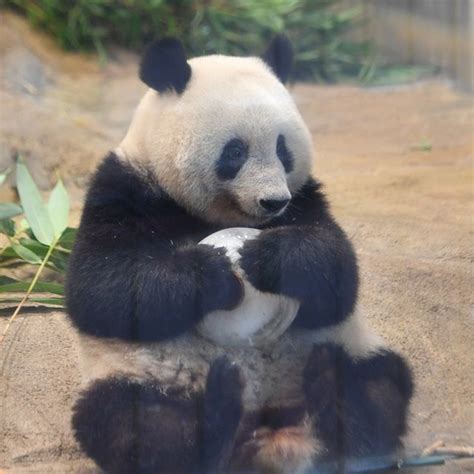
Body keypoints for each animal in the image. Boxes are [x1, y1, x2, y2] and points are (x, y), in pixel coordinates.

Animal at [65, 35, 412, 472]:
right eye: (235, 152)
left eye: (283, 149)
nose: (273, 202)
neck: (208, 213)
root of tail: (270, 436)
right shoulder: (123, 189)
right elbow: (101, 289)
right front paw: (211, 275)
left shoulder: (305, 198)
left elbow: (338, 277)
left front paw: (272, 257)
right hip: (138, 377)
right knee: (135, 425)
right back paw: (217, 410)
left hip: (349, 349)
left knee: (379, 387)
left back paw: (330, 387)